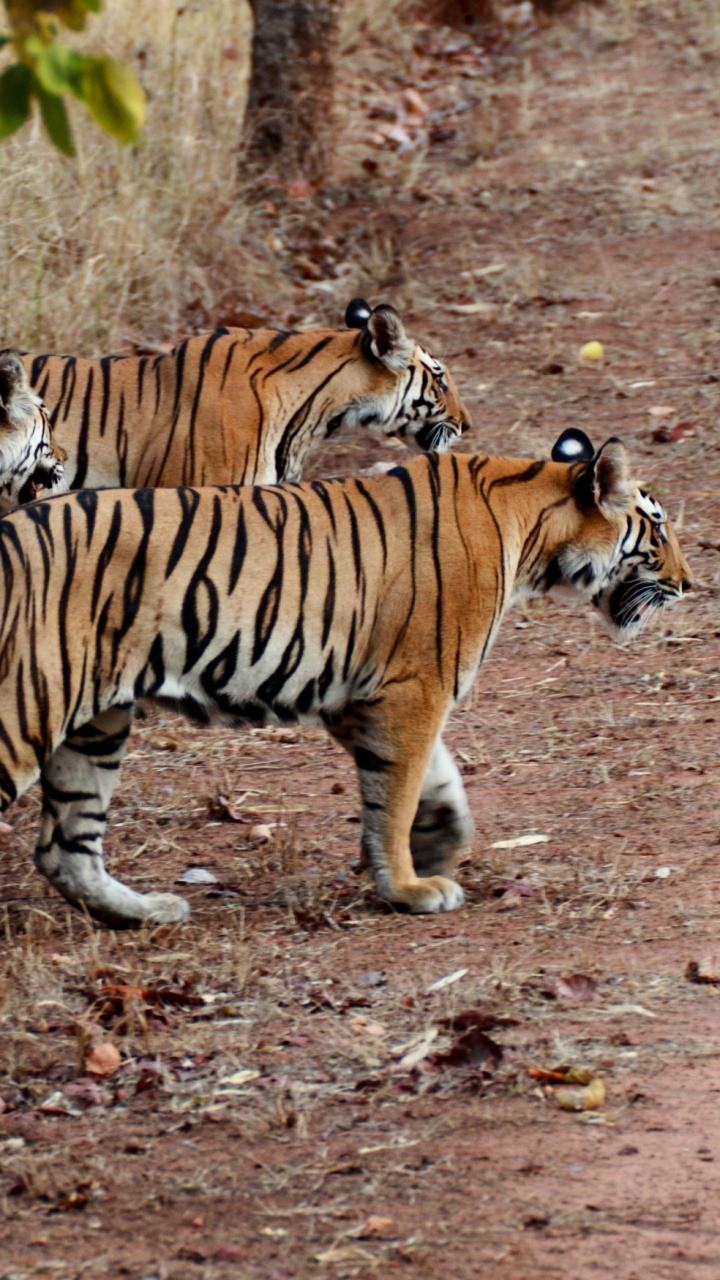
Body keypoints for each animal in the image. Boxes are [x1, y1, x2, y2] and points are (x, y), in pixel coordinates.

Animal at [0, 424, 691, 929]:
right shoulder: (416, 688)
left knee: (64, 848)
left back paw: (144, 912)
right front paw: (409, 887)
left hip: (97, 725)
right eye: (658, 528)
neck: (532, 522)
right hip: (25, 712)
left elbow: (435, 779)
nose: (688, 585)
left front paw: (440, 843)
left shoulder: (359, 696)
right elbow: (399, 793)